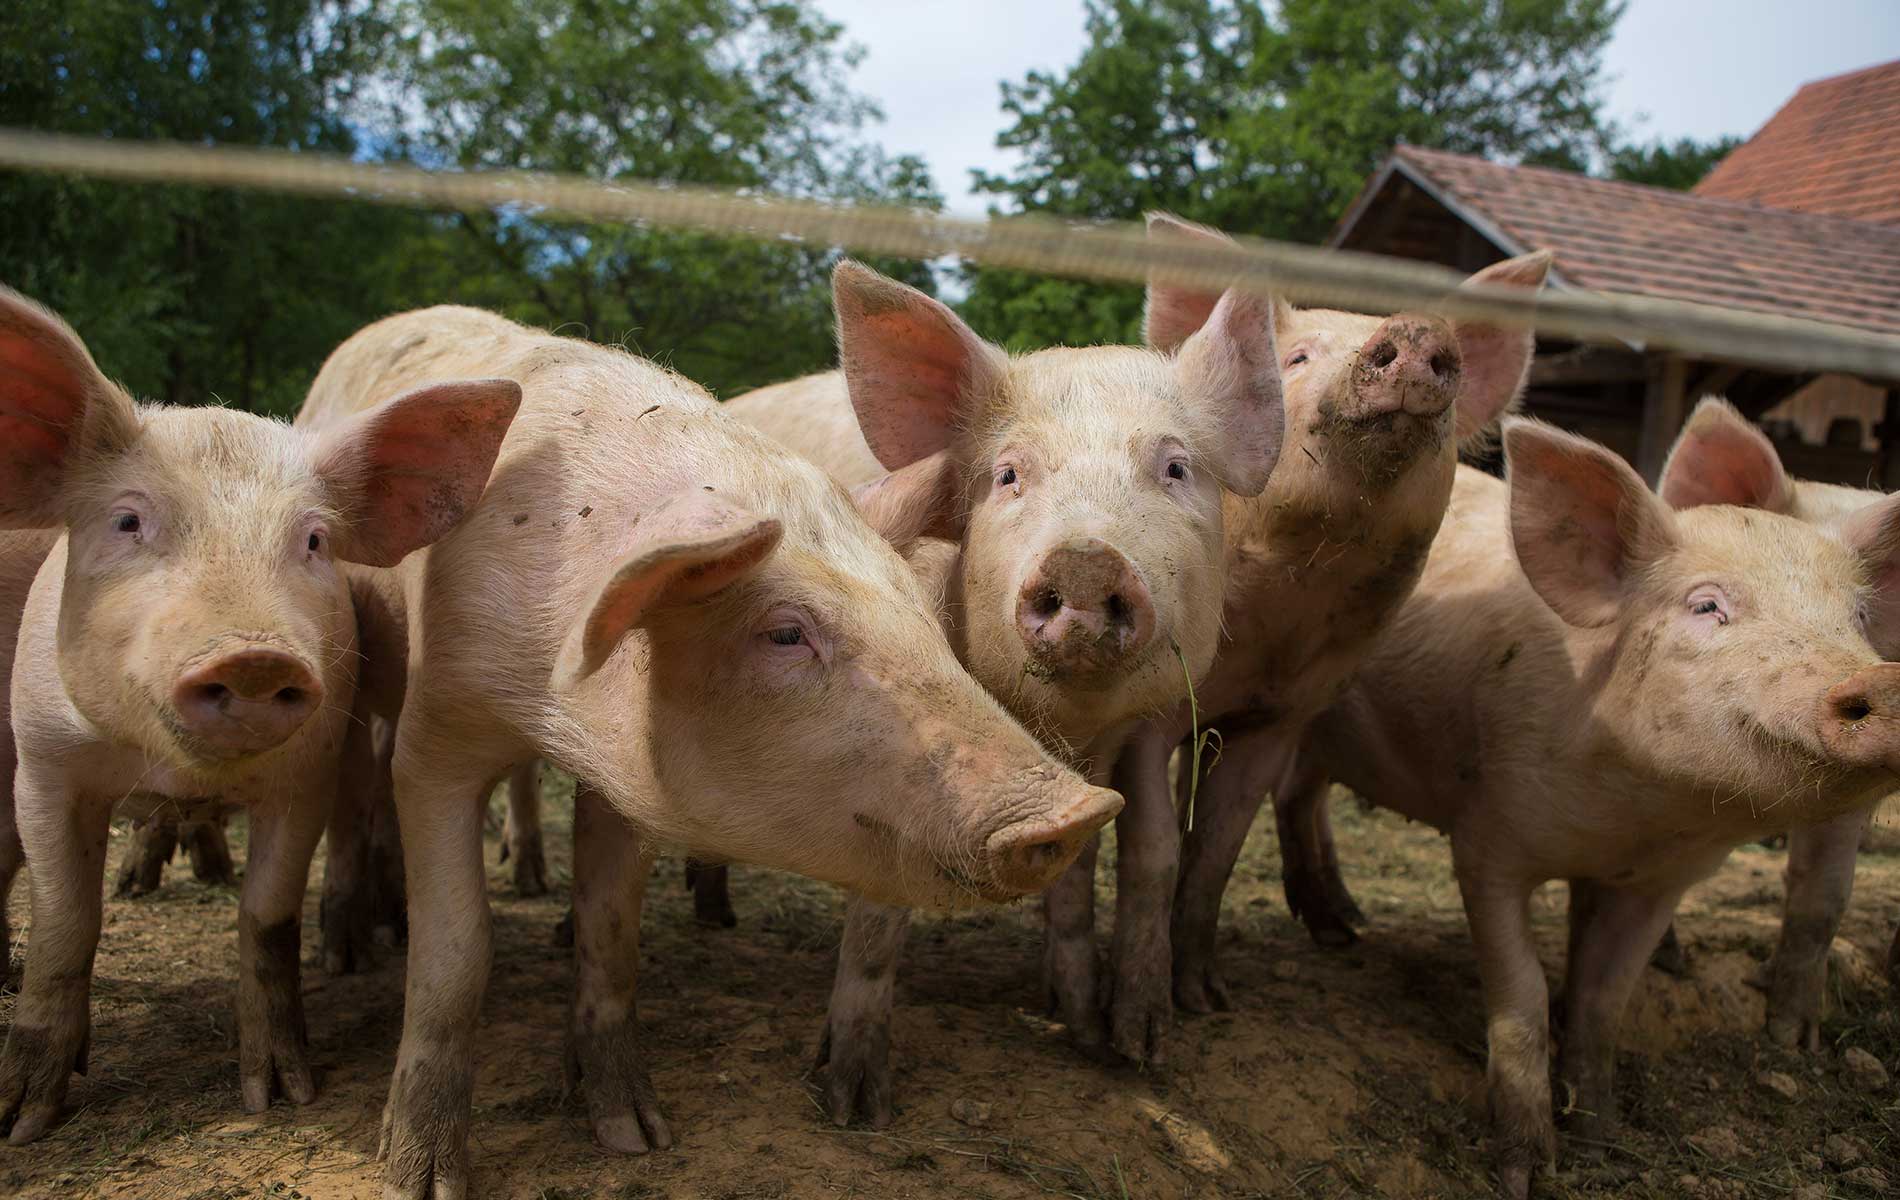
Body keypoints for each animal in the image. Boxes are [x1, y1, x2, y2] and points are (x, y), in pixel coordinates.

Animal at [0, 287, 521, 1142]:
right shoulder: (44, 762)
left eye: (313, 540)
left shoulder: (305, 773)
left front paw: (280, 1094)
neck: (178, 774)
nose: (254, 657)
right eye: (127, 522)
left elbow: (267, 916)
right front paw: (25, 1123)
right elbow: (64, 919)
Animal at [294, 301, 1122, 1200]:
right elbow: (456, 951)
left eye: (927, 622)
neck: (554, 696)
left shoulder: (622, 775)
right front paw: (420, 1179)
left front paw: (636, 1136)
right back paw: (357, 945)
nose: (1079, 810)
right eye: (785, 633)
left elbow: (613, 931)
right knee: (357, 788)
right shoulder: (438, 730)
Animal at [723, 257, 1285, 1120]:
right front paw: (853, 1105)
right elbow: (881, 906)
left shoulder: (1135, 732)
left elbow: (1127, 860)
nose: (1086, 557)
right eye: (1009, 474)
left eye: (1176, 468)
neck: (1058, 729)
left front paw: (1117, 1044)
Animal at [1116, 214, 1548, 1027]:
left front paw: (1209, 1001)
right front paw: (1141, 1033)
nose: (1412, 327)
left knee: (1300, 798)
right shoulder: (1150, 709)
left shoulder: (1282, 713)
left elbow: (1217, 850)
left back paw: (1343, 929)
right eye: (1296, 357)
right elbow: (1154, 846)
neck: (1275, 625)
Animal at [1286, 417, 1900, 1197]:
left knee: (1300, 795)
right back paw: (1335, 936)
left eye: (1858, 616)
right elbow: (1520, 992)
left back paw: (1342, 921)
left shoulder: (1659, 883)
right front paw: (1523, 1170)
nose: (1882, 682)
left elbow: (1603, 1000)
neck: (1636, 817)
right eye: (1708, 606)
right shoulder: (1488, 836)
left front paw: (1601, 1143)